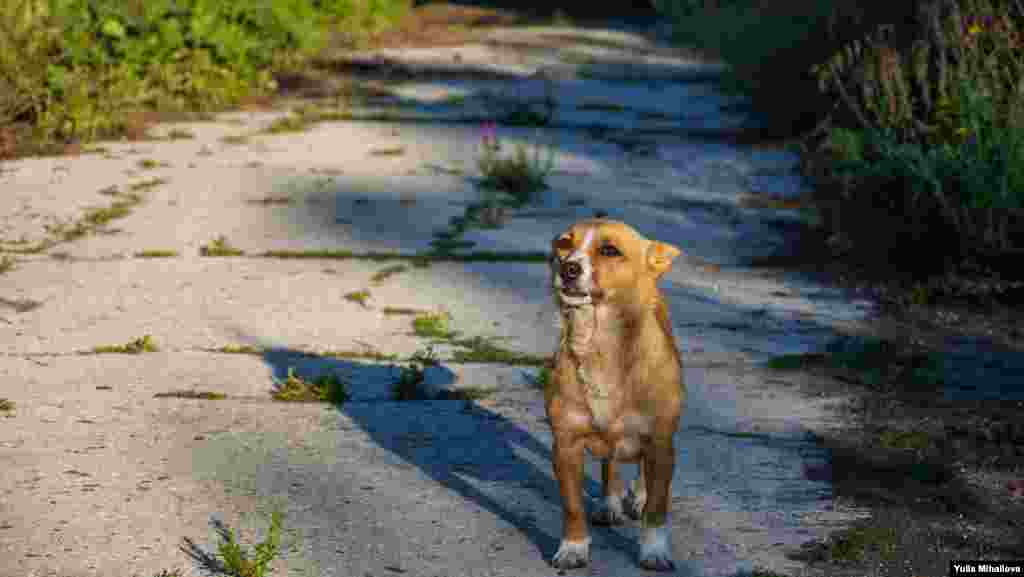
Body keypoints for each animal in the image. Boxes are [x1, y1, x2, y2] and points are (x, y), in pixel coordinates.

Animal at [544, 218, 688, 573]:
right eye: (564, 244)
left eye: (610, 250)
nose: (568, 268)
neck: (601, 344)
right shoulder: (565, 446)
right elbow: (572, 506)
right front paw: (573, 548)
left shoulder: (661, 445)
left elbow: (657, 508)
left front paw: (654, 551)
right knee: (610, 462)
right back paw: (609, 503)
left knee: (642, 475)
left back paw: (638, 496)